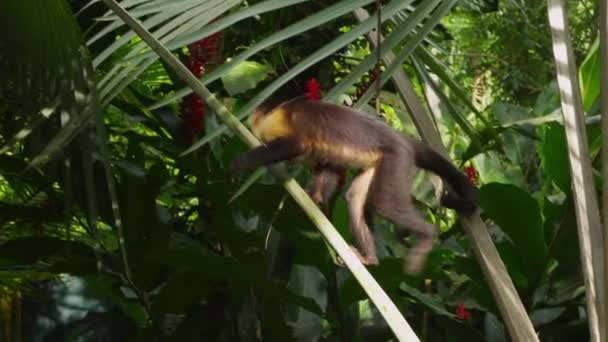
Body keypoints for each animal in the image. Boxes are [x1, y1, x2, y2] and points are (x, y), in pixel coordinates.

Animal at [230, 97, 478, 274]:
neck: (281, 115)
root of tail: (402, 138)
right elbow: (328, 167)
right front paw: (313, 199)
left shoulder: (292, 121)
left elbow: (296, 145)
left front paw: (242, 162)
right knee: (356, 198)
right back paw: (369, 258)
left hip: (398, 157)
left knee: (384, 203)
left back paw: (426, 235)